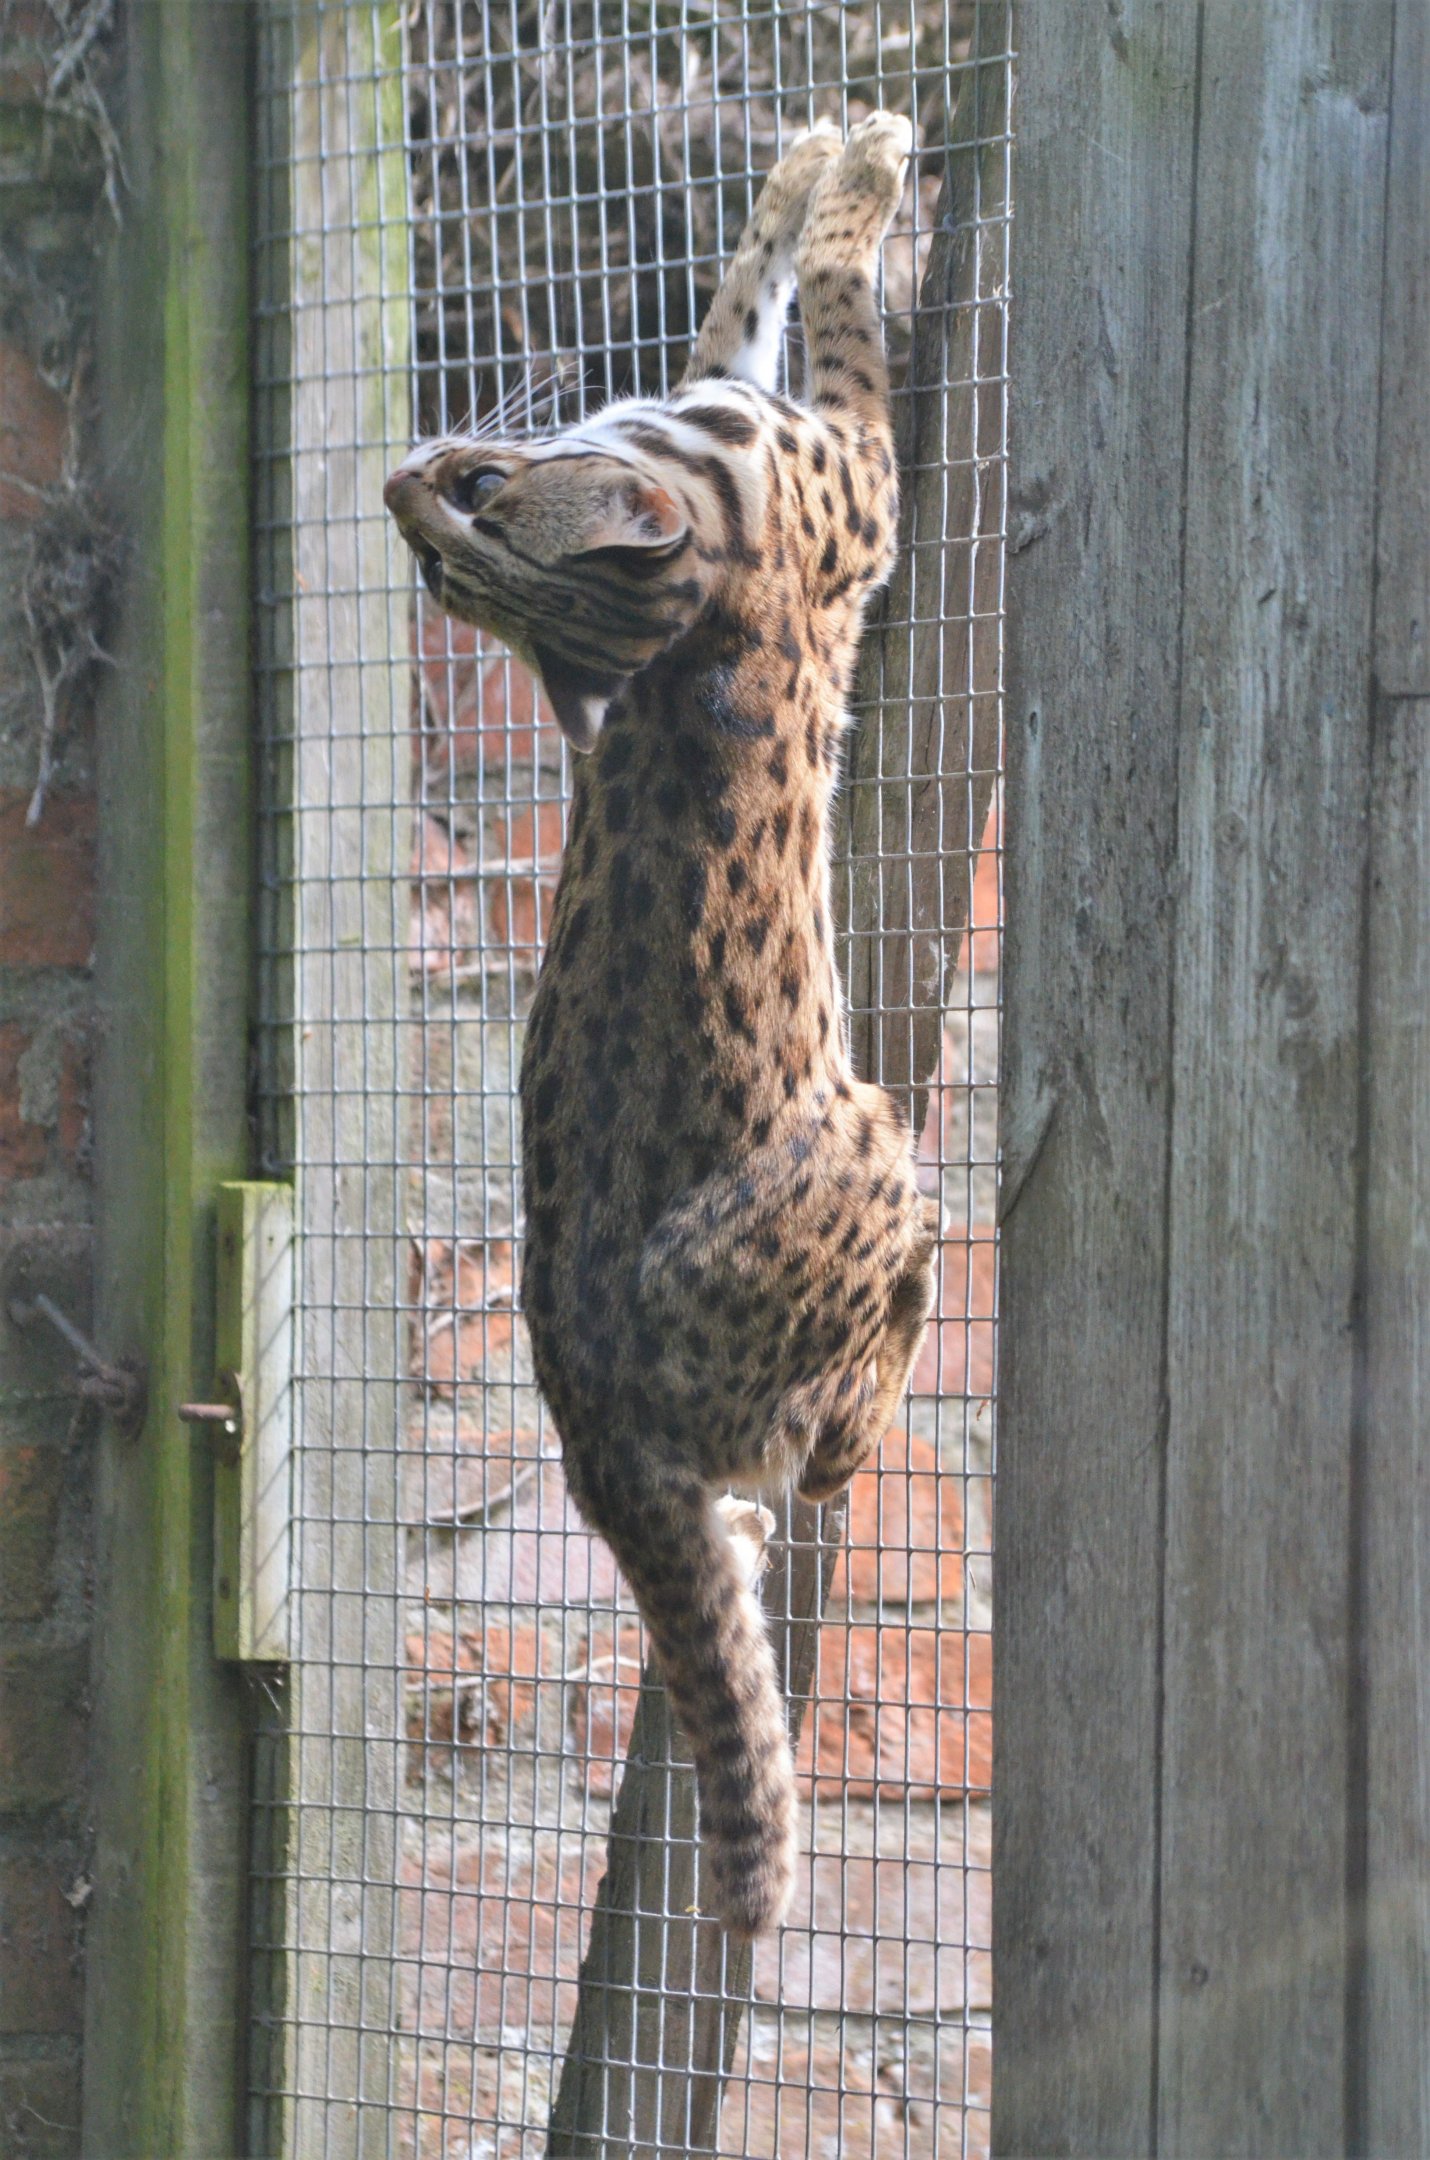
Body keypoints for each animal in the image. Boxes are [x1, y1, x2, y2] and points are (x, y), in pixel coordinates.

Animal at [385, 112, 938, 1939]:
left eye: (469, 516)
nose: (401, 481)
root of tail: (590, 1433)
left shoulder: (719, 392)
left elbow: (736, 296)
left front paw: (801, 155)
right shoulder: (853, 468)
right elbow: (827, 306)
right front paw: (865, 158)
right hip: (876, 1148)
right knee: (828, 1437)